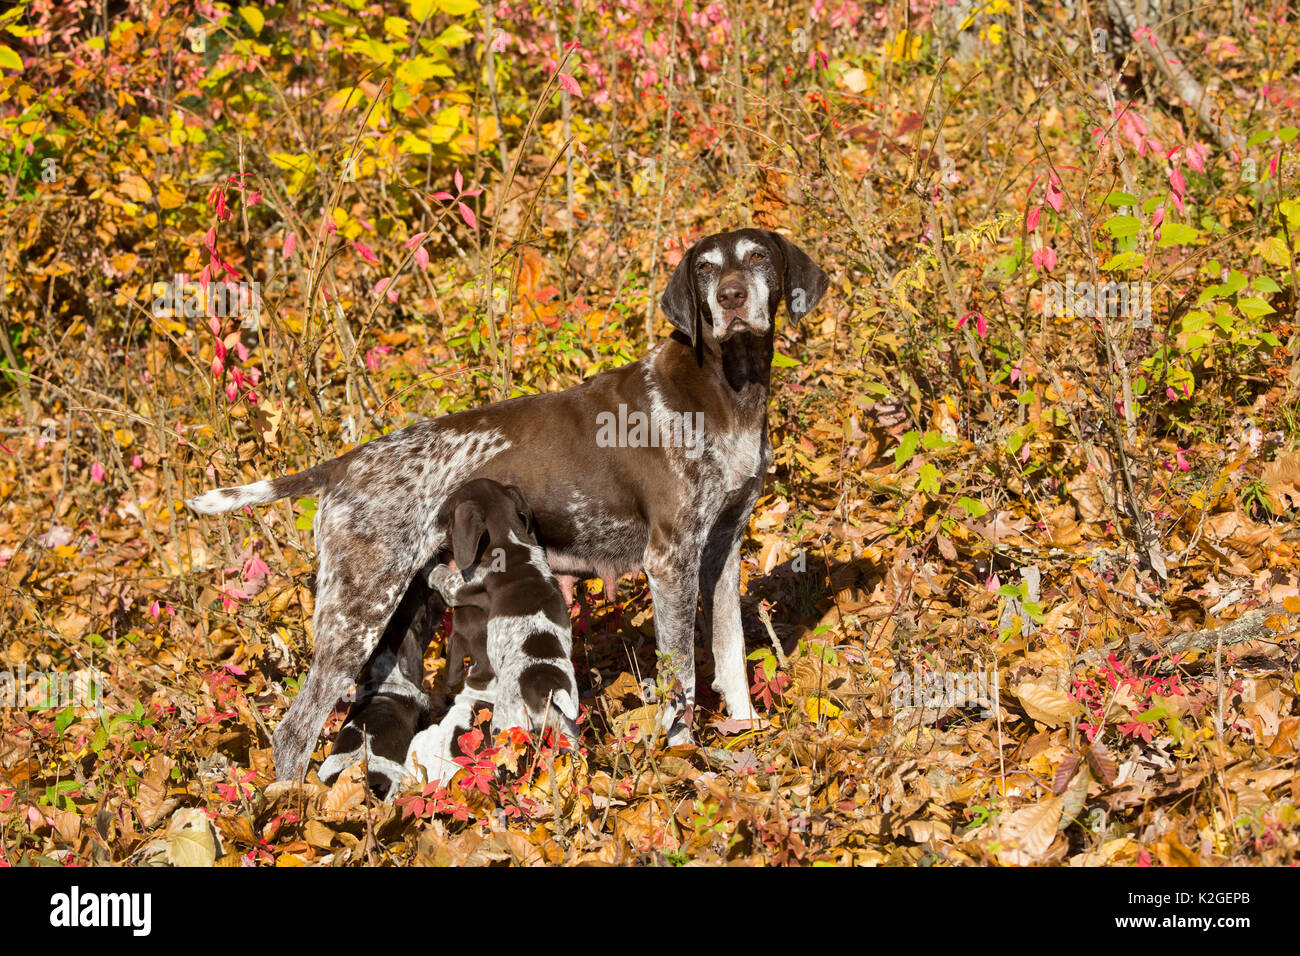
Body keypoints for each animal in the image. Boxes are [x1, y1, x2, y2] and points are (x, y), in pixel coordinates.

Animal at [188, 227, 826, 780]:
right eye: (704, 269)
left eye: (758, 257)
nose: (732, 297)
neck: (730, 392)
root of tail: (345, 465)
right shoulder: (671, 560)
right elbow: (681, 680)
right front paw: (681, 758)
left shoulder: (722, 549)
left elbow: (731, 653)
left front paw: (745, 731)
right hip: (358, 609)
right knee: (293, 732)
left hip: (405, 605)